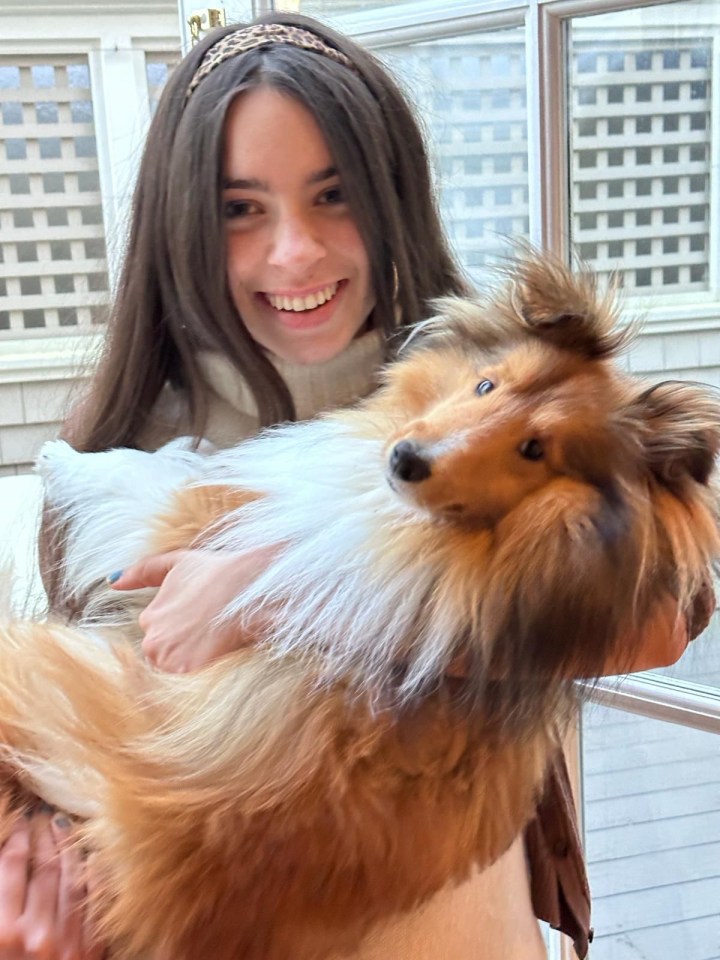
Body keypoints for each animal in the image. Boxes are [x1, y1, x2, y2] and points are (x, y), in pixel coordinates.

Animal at [1, 256, 720, 960]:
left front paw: (58, 454)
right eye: (486, 386)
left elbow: (145, 477)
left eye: (535, 449)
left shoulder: (203, 528)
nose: (405, 459)